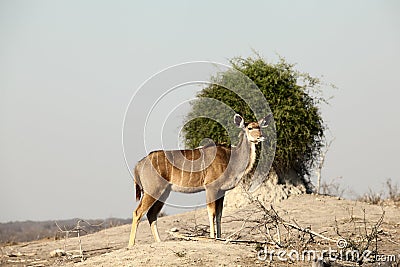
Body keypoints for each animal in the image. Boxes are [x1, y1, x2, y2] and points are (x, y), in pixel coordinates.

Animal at [128, 113, 272, 247]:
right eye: (250, 127)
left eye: (260, 127)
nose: (261, 136)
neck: (231, 158)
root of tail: (139, 164)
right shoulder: (211, 188)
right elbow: (211, 212)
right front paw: (213, 238)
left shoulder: (221, 192)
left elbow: (219, 215)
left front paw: (220, 238)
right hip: (153, 191)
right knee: (138, 212)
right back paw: (131, 245)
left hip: (164, 192)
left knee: (151, 214)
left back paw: (159, 242)